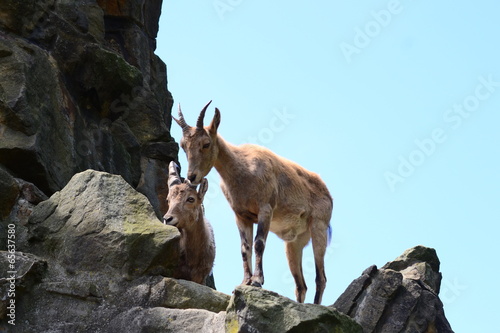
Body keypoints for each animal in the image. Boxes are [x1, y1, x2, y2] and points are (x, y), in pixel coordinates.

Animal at [174, 101, 334, 304]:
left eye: (206, 143)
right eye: (183, 145)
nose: (192, 177)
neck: (243, 170)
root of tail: (328, 193)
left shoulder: (265, 209)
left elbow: (259, 243)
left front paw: (257, 281)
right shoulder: (242, 216)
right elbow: (245, 248)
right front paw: (245, 281)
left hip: (318, 227)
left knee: (321, 277)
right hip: (294, 242)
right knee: (301, 285)